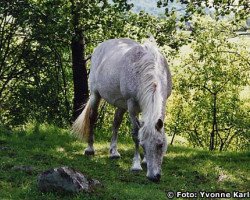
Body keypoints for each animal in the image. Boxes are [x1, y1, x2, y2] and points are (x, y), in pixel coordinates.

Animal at [73, 36, 172, 182]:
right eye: (143, 145)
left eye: (160, 145)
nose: (153, 177)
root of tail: (101, 46)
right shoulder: (131, 105)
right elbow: (135, 134)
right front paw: (136, 165)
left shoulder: (163, 102)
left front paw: (144, 161)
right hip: (96, 95)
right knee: (92, 117)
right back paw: (90, 149)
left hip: (121, 104)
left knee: (116, 123)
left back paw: (114, 152)